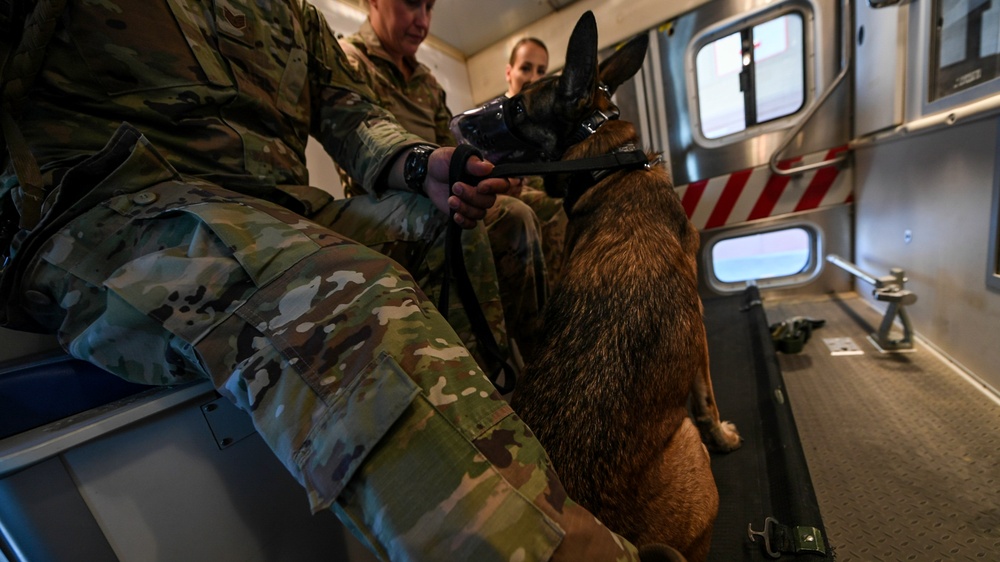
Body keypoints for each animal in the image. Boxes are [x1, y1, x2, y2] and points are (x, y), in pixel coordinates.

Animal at [508, 9, 744, 560]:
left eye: (518, 105)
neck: (607, 166)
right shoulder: (699, 330)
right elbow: (707, 399)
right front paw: (724, 435)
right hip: (688, 447)